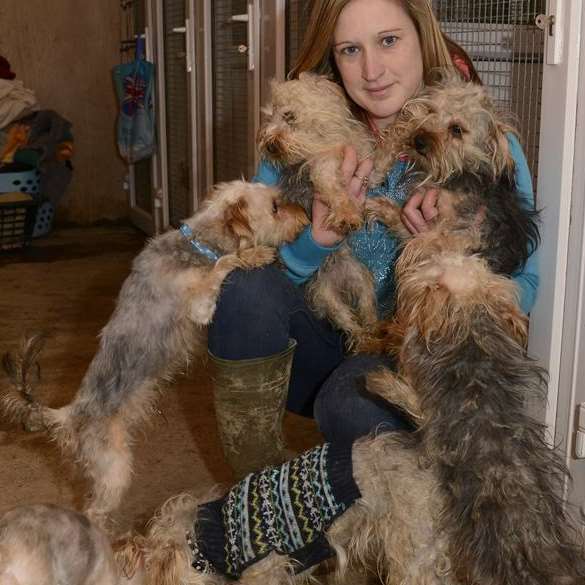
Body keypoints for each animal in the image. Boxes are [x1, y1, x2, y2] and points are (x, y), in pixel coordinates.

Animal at [258, 74, 378, 346]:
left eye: (289, 116)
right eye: (269, 117)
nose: (269, 145)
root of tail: (338, 279)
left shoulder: (355, 151)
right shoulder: (320, 167)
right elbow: (330, 185)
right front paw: (346, 214)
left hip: (362, 279)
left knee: (367, 308)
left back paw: (375, 332)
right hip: (324, 293)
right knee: (346, 318)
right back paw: (363, 338)